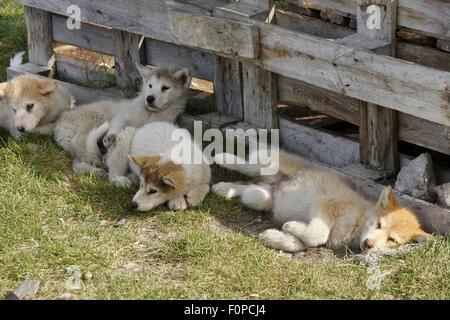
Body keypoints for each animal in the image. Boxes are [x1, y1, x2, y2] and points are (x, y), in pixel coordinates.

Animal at [213, 150, 430, 252]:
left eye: (392, 240)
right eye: (378, 224)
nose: (368, 245)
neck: (358, 221)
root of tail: (277, 186)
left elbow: (304, 243)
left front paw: (276, 236)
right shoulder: (325, 205)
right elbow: (317, 235)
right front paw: (288, 228)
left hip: (260, 198)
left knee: (248, 189)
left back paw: (223, 188)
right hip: (270, 162)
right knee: (249, 166)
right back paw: (222, 157)